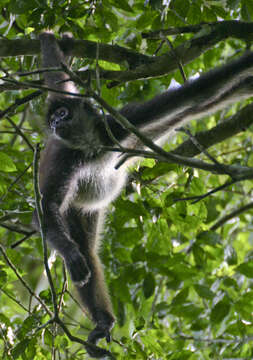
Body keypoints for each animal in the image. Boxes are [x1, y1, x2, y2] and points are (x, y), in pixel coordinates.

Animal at [35, 32, 253, 358]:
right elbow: (46, 209)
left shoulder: (120, 123)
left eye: (62, 114)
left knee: (197, 106)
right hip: (78, 208)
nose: (55, 124)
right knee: (85, 248)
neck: (91, 146)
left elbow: (199, 92)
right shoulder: (65, 155)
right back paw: (102, 319)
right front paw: (72, 256)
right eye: (52, 121)